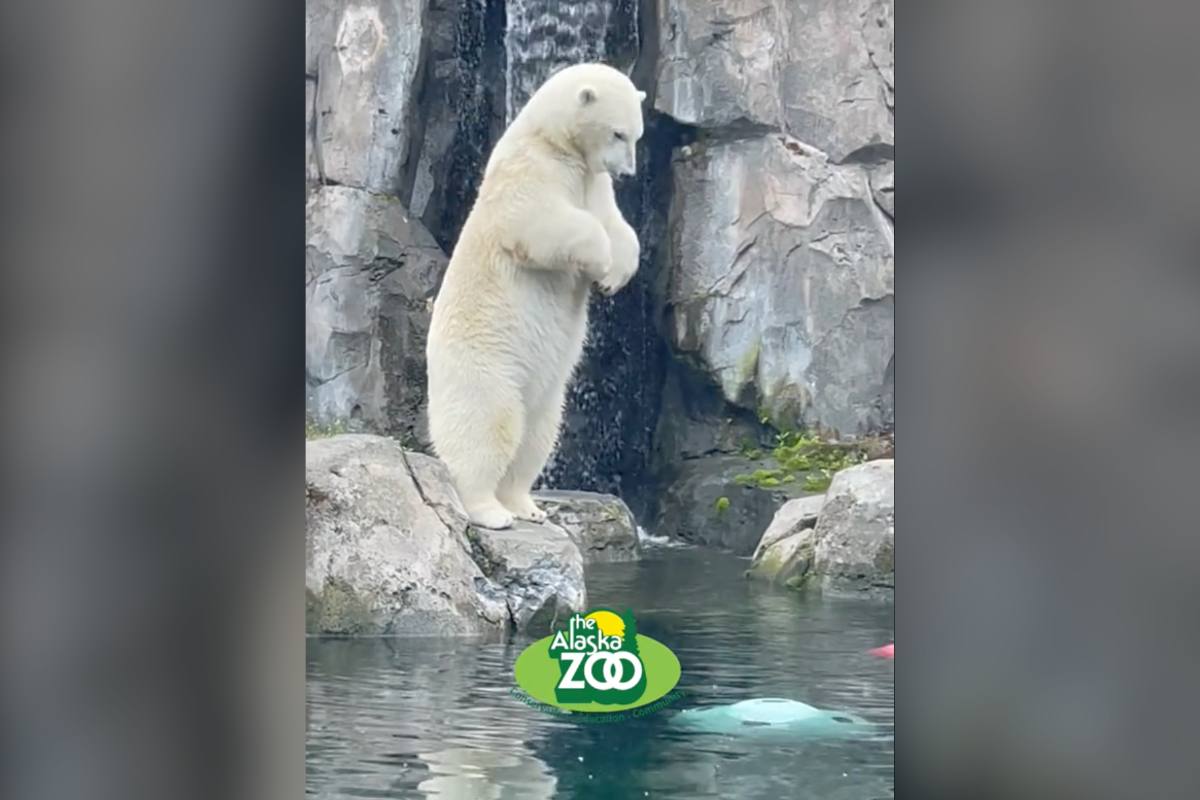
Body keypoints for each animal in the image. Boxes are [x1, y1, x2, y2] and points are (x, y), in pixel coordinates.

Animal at [426, 63, 646, 530]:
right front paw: (600, 262)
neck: (551, 140)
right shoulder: (529, 171)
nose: (628, 173)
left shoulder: (593, 181)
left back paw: (526, 506)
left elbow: (617, 224)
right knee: (489, 426)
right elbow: (540, 222)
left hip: (546, 393)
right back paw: (491, 511)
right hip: (486, 365)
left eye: (637, 134)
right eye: (618, 133)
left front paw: (613, 276)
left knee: (538, 434)